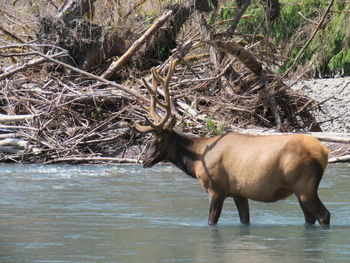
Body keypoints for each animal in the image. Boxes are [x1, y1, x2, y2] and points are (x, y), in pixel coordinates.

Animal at [134, 58, 330, 226]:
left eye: (157, 140)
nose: (145, 160)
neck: (197, 161)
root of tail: (324, 152)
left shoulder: (216, 189)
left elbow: (211, 221)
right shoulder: (239, 193)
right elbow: (245, 219)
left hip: (304, 185)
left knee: (324, 215)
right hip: (301, 189)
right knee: (310, 218)